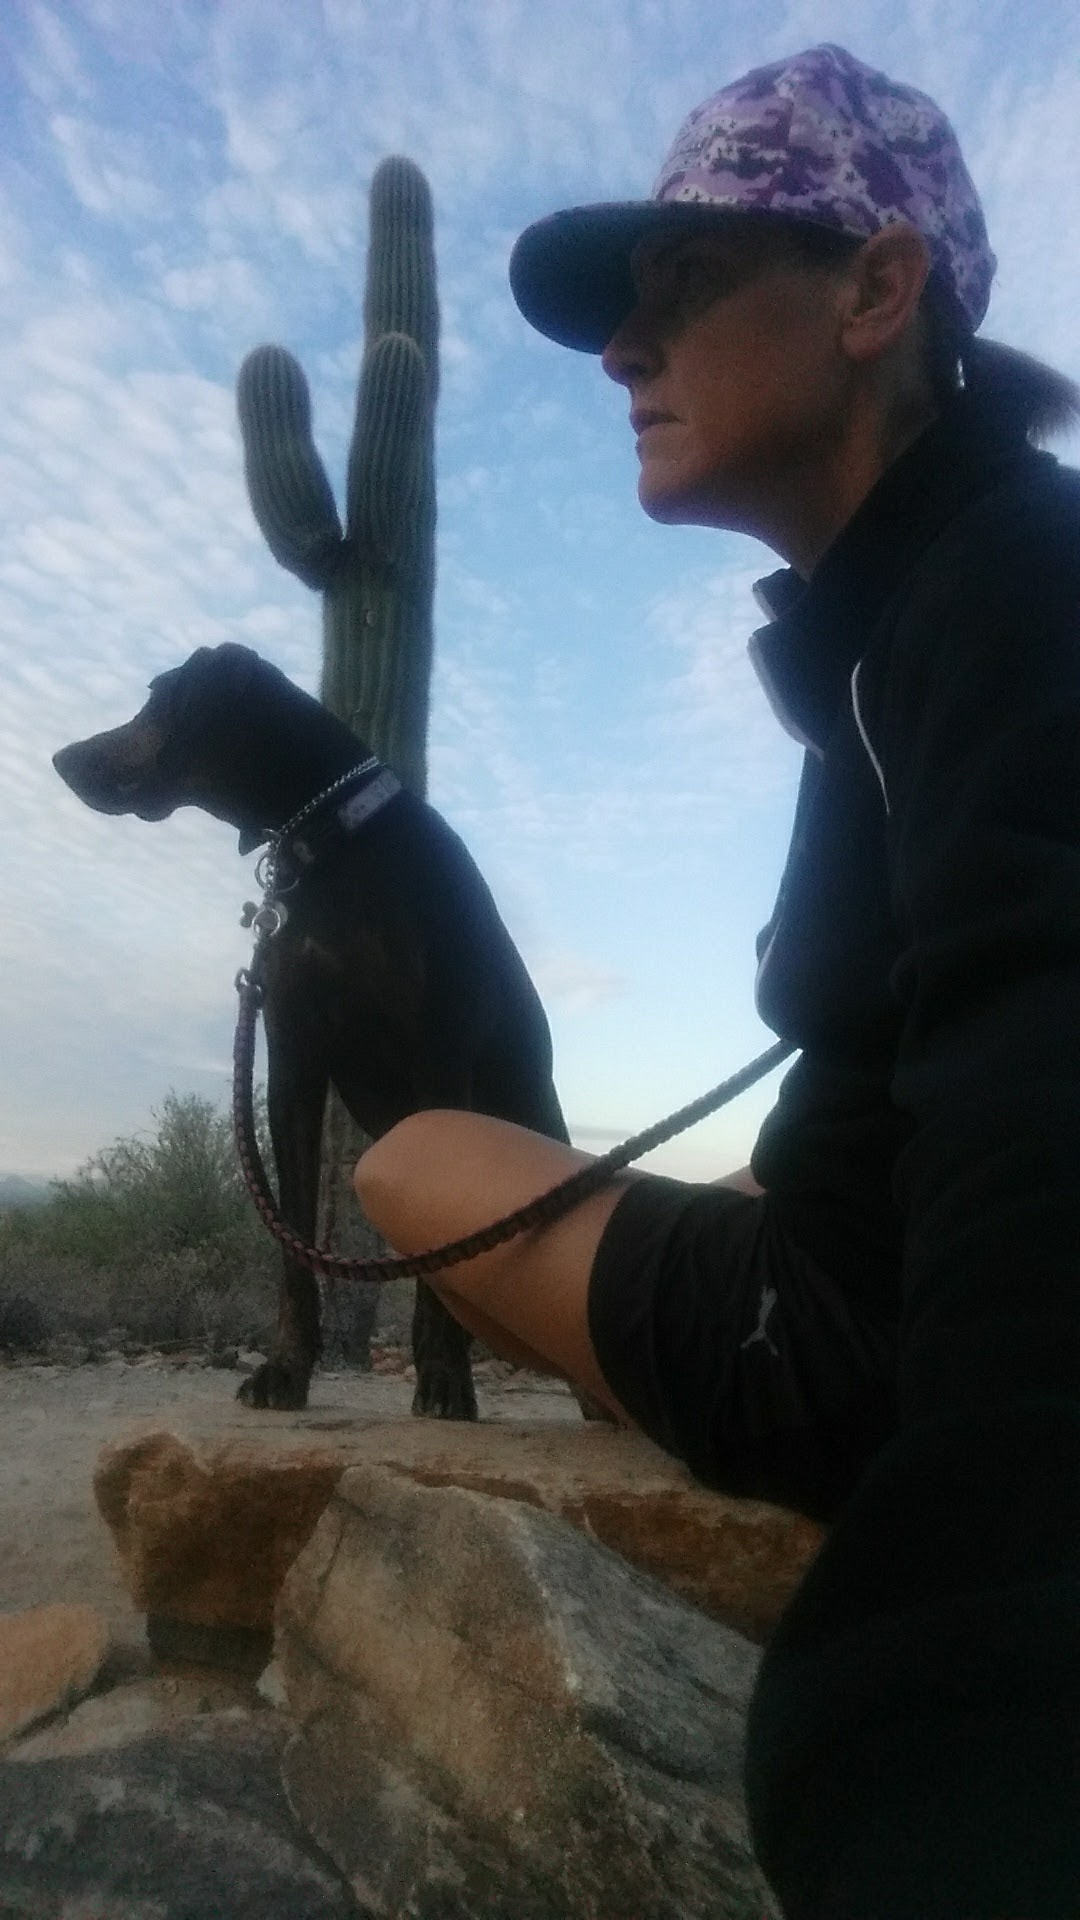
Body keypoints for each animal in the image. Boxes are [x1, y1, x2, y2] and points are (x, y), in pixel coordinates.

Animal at [54, 645, 568, 1413]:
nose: (62, 758)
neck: (336, 846)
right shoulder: (292, 1062)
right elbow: (293, 1242)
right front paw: (286, 1370)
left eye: (157, 696)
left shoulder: (439, 1057)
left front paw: (445, 1377)